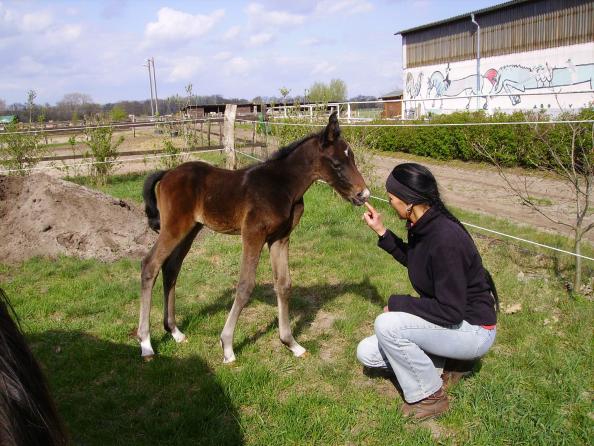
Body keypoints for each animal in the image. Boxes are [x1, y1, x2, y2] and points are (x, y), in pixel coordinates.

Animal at [139, 111, 368, 362]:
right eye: (337, 163)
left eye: (352, 158)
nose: (363, 194)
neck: (283, 185)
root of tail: (166, 174)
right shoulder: (253, 234)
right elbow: (245, 285)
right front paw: (227, 346)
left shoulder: (280, 238)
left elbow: (284, 284)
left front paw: (291, 343)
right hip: (174, 227)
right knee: (150, 265)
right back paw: (146, 343)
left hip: (191, 229)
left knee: (171, 268)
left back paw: (175, 332)